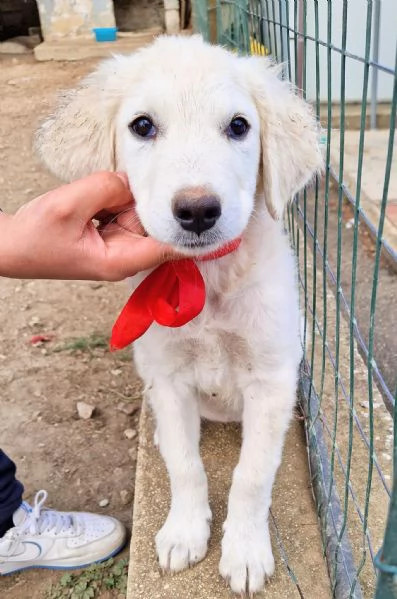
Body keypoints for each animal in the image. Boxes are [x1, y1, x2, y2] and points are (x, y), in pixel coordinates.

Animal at [36, 35, 322, 592]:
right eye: (143, 126)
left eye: (239, 126)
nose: (197, 211)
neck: (205, 279)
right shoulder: (166, 377)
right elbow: (185, 465)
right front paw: (186, 532)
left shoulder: (271, 380)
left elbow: (252, 475)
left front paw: (245, 551)